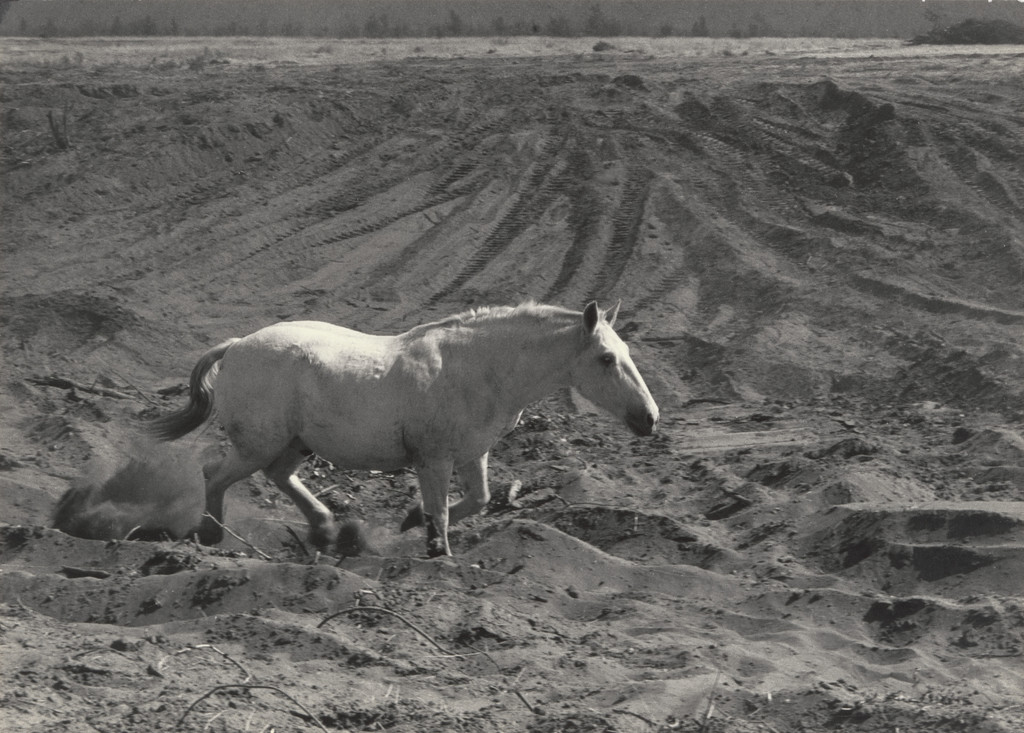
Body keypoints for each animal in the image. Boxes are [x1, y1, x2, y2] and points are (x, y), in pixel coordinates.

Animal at [148, 301, 659, 557]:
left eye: (626, 351)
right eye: (606, 358)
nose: (649, 418)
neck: (478, 367)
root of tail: (236, 346)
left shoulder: (472, 454)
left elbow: (477, 500)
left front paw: (414, 521)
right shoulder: (433, 459)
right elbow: (444, 510)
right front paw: (437, 550)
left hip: (295, 444)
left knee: (279, 477)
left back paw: (327, 530)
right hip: (259, 444)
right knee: (215, 475)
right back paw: (210, 536)